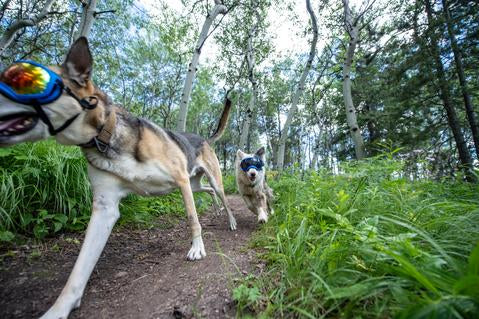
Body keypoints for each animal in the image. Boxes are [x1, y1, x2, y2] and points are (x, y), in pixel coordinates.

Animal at [0, 37, 238, 318]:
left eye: (22, 82)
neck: (106, 134)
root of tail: (204, 138)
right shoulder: (105, 207)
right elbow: (79, 268)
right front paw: (61, 307)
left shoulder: (180, 180)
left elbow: (193, 219)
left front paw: (197, 248)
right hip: (194, 184)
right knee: (208, 192)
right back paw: (215, 207)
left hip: (205, 181)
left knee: (222, 196)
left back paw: (230, 220)